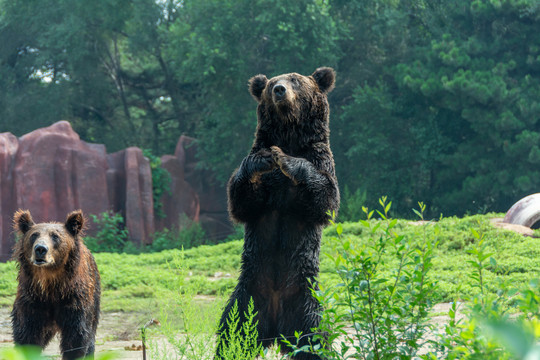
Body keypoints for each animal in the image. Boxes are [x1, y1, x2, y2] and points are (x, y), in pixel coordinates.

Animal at [10, 210, 101, 358]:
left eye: (55, 236)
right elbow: (27, 334)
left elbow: (76, 337)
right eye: (34, 235)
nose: (40, 249)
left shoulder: (74, 300)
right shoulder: (32, 299)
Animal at [217, 68, 340, 360]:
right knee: (231, 337)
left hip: (306, 301)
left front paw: (285, 160)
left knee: (313, 340)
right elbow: (240, 199)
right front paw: (265, 159)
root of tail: (274, 329)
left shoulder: (321, 159)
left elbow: (325, 197)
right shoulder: (260, 185)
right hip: (246, 299)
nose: (279, 90)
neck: (290, 134)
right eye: (272, 83)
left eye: (295, 80)